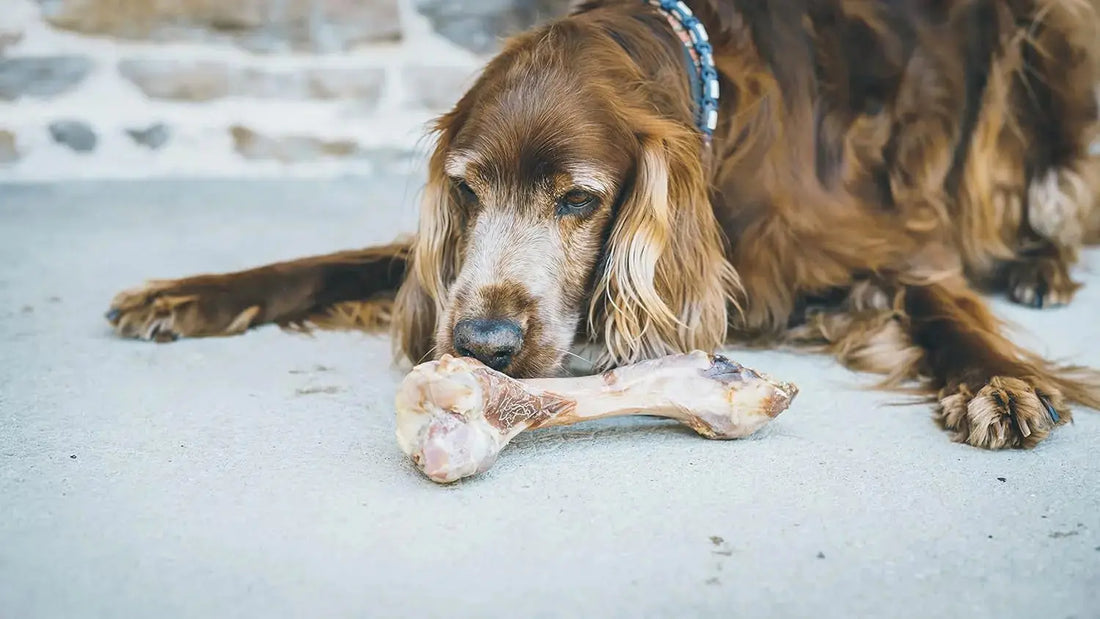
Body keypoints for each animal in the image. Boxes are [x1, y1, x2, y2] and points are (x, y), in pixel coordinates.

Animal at [107, 0, 1100, 448]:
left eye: (578, 199)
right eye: (467, 190)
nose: (484, 343)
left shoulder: (883, 240)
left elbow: (940, 299)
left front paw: (999, 380)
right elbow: (342, 261)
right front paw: (186, 292)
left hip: (1044, 46)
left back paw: (1039, 264)